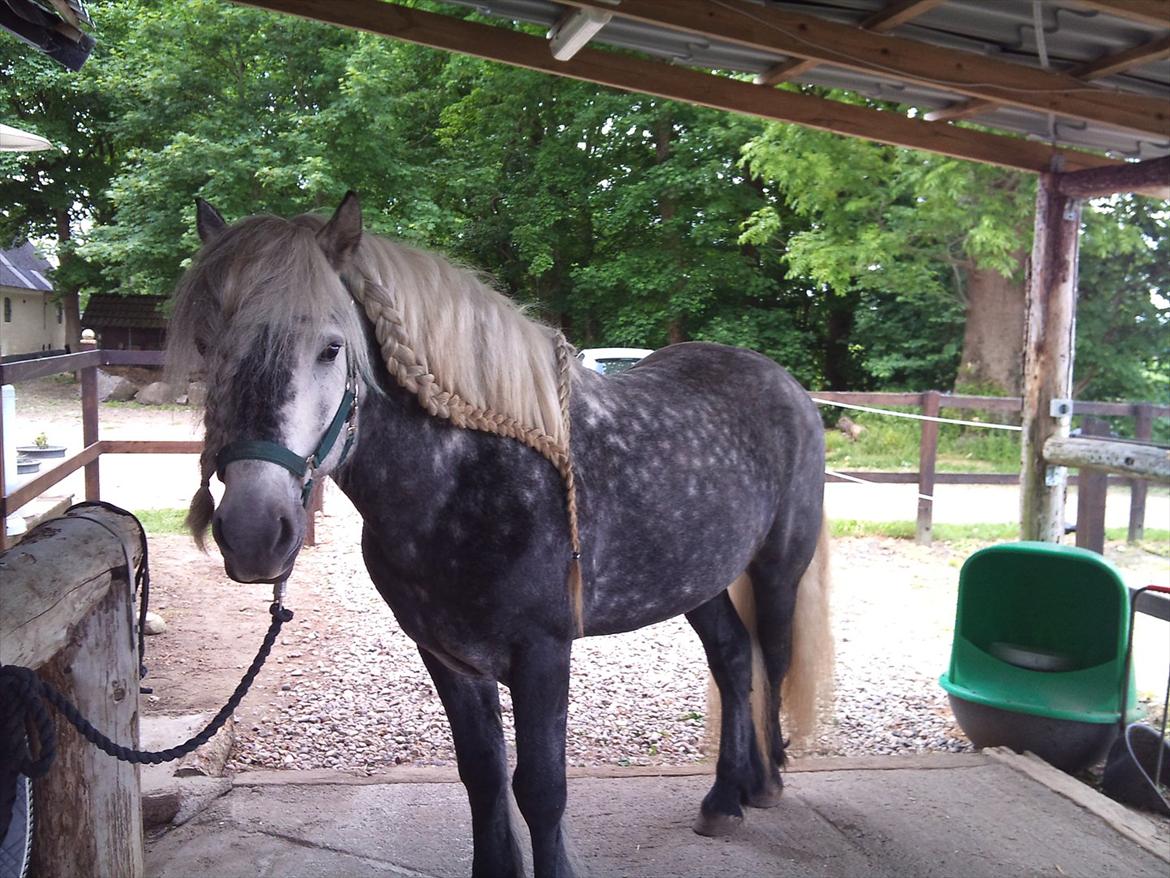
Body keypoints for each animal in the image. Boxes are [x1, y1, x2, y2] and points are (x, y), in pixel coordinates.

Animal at [167, 192, 833, 878]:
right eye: (206, 346)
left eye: (330, 348)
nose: (252, 533)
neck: (470, 476)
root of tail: (785, 384)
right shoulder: (446, 655)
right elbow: (482, 775)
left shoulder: (543, 651)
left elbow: (540, 788)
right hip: (697, 579)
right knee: (732, 657)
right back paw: (726, 796)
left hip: (778, 567)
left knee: (773, 654)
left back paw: (766, 781)